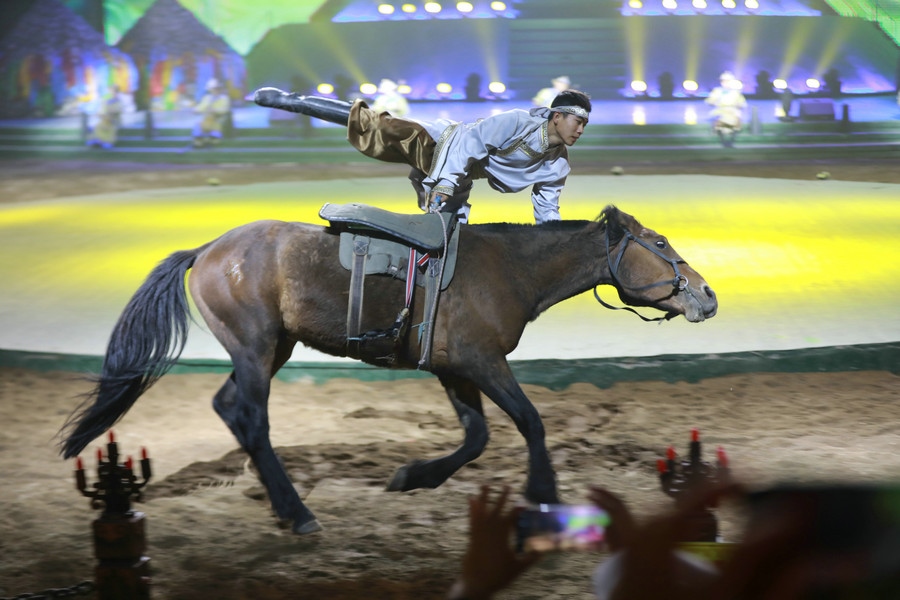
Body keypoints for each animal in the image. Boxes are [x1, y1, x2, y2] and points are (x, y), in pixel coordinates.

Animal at [60, 204, 717, 534]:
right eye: (661, 245)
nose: (707, 296)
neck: (507, 269)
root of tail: (206, 251)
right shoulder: (485, 361)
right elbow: (530, 422)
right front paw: (543, 497)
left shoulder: (456, 369)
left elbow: (477, 436)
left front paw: (412, 476)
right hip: (255, 348)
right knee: (251, 418)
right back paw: (298, 514)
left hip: (272, 349)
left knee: (230, 409)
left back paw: (284, 505)